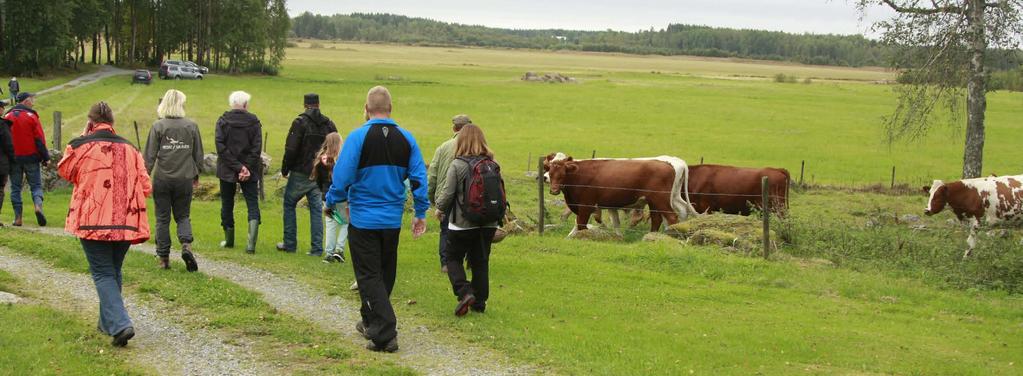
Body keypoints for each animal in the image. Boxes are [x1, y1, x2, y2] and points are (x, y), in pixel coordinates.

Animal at [544, 153, 695, 235]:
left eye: (563, 173)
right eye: (550, 170)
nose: (554, 190)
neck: (578, 175)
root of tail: (669, 163)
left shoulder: (586, 205)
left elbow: (581, 224)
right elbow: (614, 222)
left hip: (662, 199)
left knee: (672, 216)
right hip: (656, 201)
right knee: (659, 218)